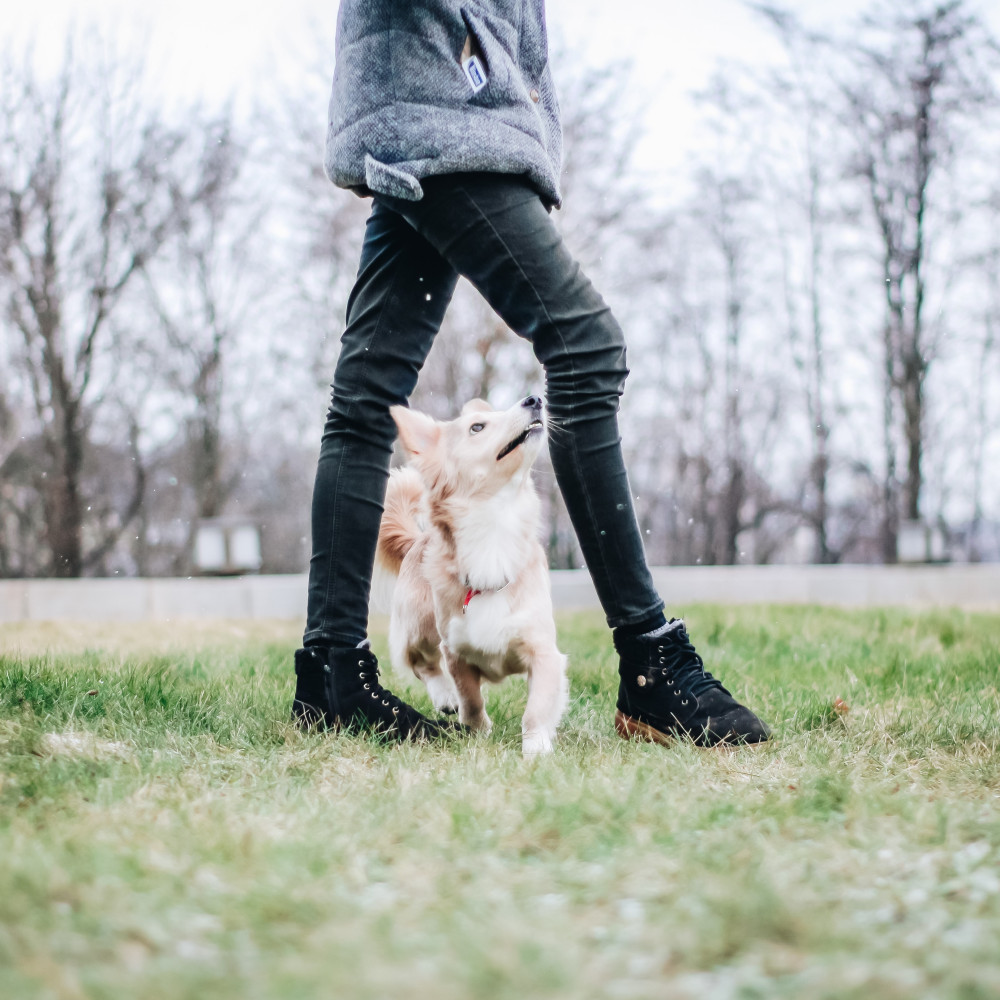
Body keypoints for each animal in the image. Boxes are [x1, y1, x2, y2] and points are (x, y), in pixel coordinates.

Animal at [378, 394, 572, 752]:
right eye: (477, 427)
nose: (534, 398)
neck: (493, 529)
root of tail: (417, 539)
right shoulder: (456, 652)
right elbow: (470, 698)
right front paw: (476, 730)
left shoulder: (543, 652)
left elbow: (537, 708)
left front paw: (536, 748)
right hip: (419, 623)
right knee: (422, 662)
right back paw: (444, 696)